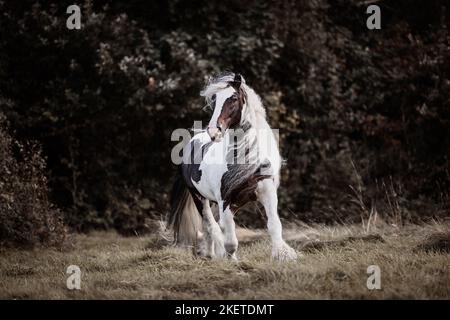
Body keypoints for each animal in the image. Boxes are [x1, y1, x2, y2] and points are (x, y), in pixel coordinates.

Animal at [167, 73, 298, 262]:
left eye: (234, 98)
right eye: (214, 100)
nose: (214, 131)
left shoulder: (267, 192)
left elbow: (274, 224)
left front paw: (282, 255)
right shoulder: (225, 201)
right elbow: (229, 238)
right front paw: (231, 261)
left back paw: (210, 254)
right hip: (200, 198)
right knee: (210, 226)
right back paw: (211, 255)